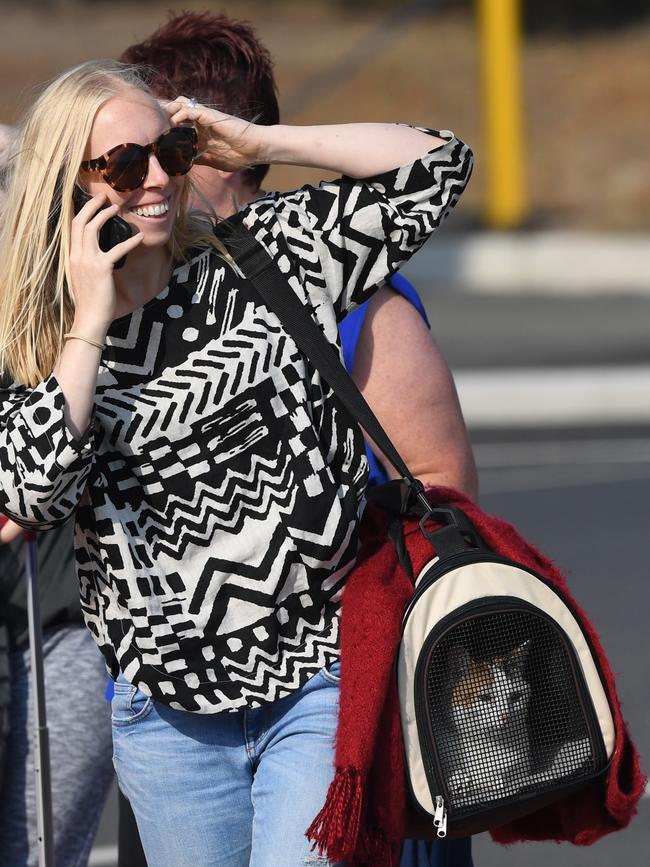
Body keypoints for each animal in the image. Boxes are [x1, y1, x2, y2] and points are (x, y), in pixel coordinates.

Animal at [394, 506, 612, 836]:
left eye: (515, 696)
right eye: (484, 698)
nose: (506, 716)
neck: (491, 749)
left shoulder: (518, 773)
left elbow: (505, 783)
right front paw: (463, 781)